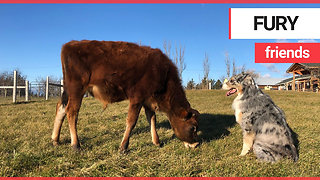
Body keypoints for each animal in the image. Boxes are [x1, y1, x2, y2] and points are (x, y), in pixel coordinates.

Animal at [51, 40, 199, 152]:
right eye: (193, 127)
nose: (196, 144)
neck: (163, 74)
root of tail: (70, 44)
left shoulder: (147, 100)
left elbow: (152, 119)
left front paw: (156, 141)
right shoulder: (137, 98)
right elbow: (131, 121)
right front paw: (123, 147)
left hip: (68, 91)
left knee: (61, 108)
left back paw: (55, 140)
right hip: (76, 90)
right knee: (71, 112)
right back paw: (76, 144)